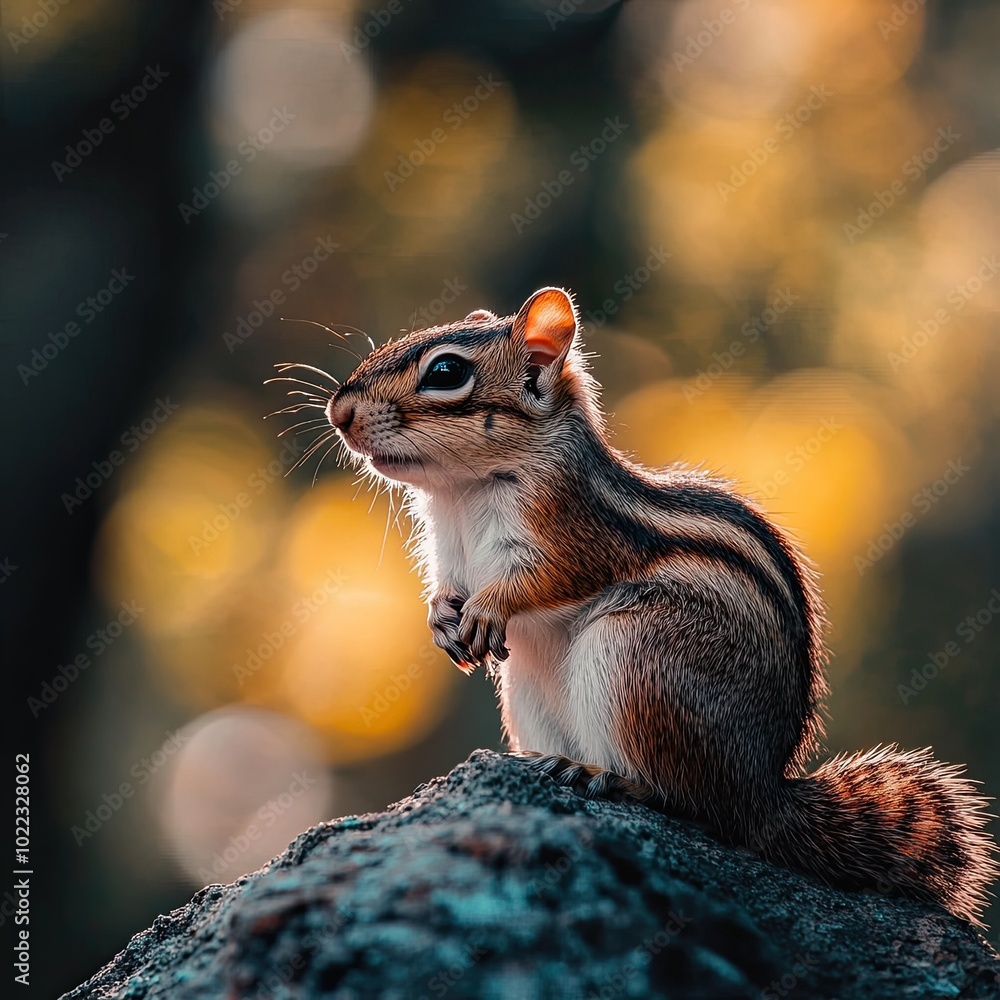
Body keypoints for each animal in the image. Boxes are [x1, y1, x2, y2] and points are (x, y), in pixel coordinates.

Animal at [315, 286, 998, 926]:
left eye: (446, 371)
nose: (338, 410)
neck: (460, 491)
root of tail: (764, 795)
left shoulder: (569, 528)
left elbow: (542, 580)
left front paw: (489, 609)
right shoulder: (449, 556)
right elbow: (446, 592)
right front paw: (442, 622)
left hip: (634, 651)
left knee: (689, 802)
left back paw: (608, 778)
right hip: (529, 688)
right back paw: (546, 761)